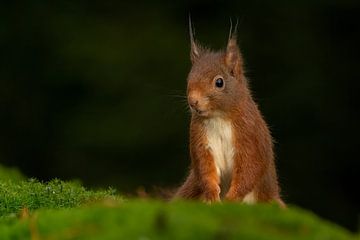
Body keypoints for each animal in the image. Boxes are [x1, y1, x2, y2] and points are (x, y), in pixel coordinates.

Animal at [174, 20, 284, 206]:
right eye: (189, 78)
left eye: (219, 82)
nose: (193, 101)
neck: (218, 117)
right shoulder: (200, 139)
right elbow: (205, 168)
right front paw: (212, 195)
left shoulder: (249, 135)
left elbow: (250, 168)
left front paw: (232, 198)